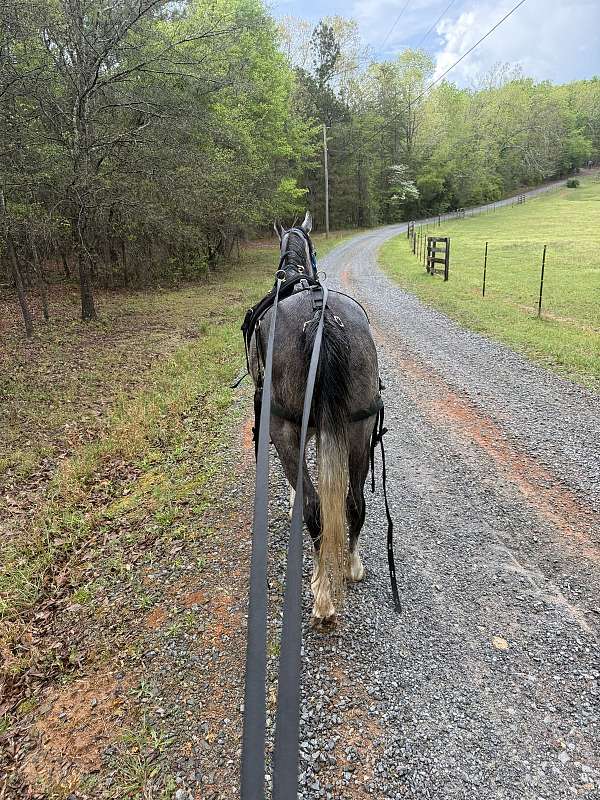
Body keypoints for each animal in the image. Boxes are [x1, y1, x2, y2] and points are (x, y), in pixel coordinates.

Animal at [247, 212, 382, 627]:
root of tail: (321, 317)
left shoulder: (292, 428)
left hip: (283, 428)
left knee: (315, 509)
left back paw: (322, 595)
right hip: (359, 429)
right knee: (354, 504)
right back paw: (352, 565)